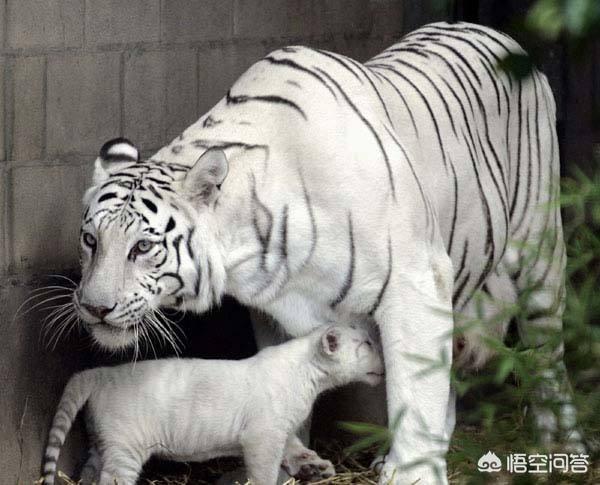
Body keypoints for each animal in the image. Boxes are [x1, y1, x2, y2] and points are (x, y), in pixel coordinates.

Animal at [68, 21, 583, 484]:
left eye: (143, 246)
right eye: (91, 240)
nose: (94, 307)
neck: (251, 240)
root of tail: (499, 35)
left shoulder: (416, 281)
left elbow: (414, 384)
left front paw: (412, 472)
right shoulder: (272, 310)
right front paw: (294, 463)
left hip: (539, 256)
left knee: (547, 357)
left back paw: (559, 447)